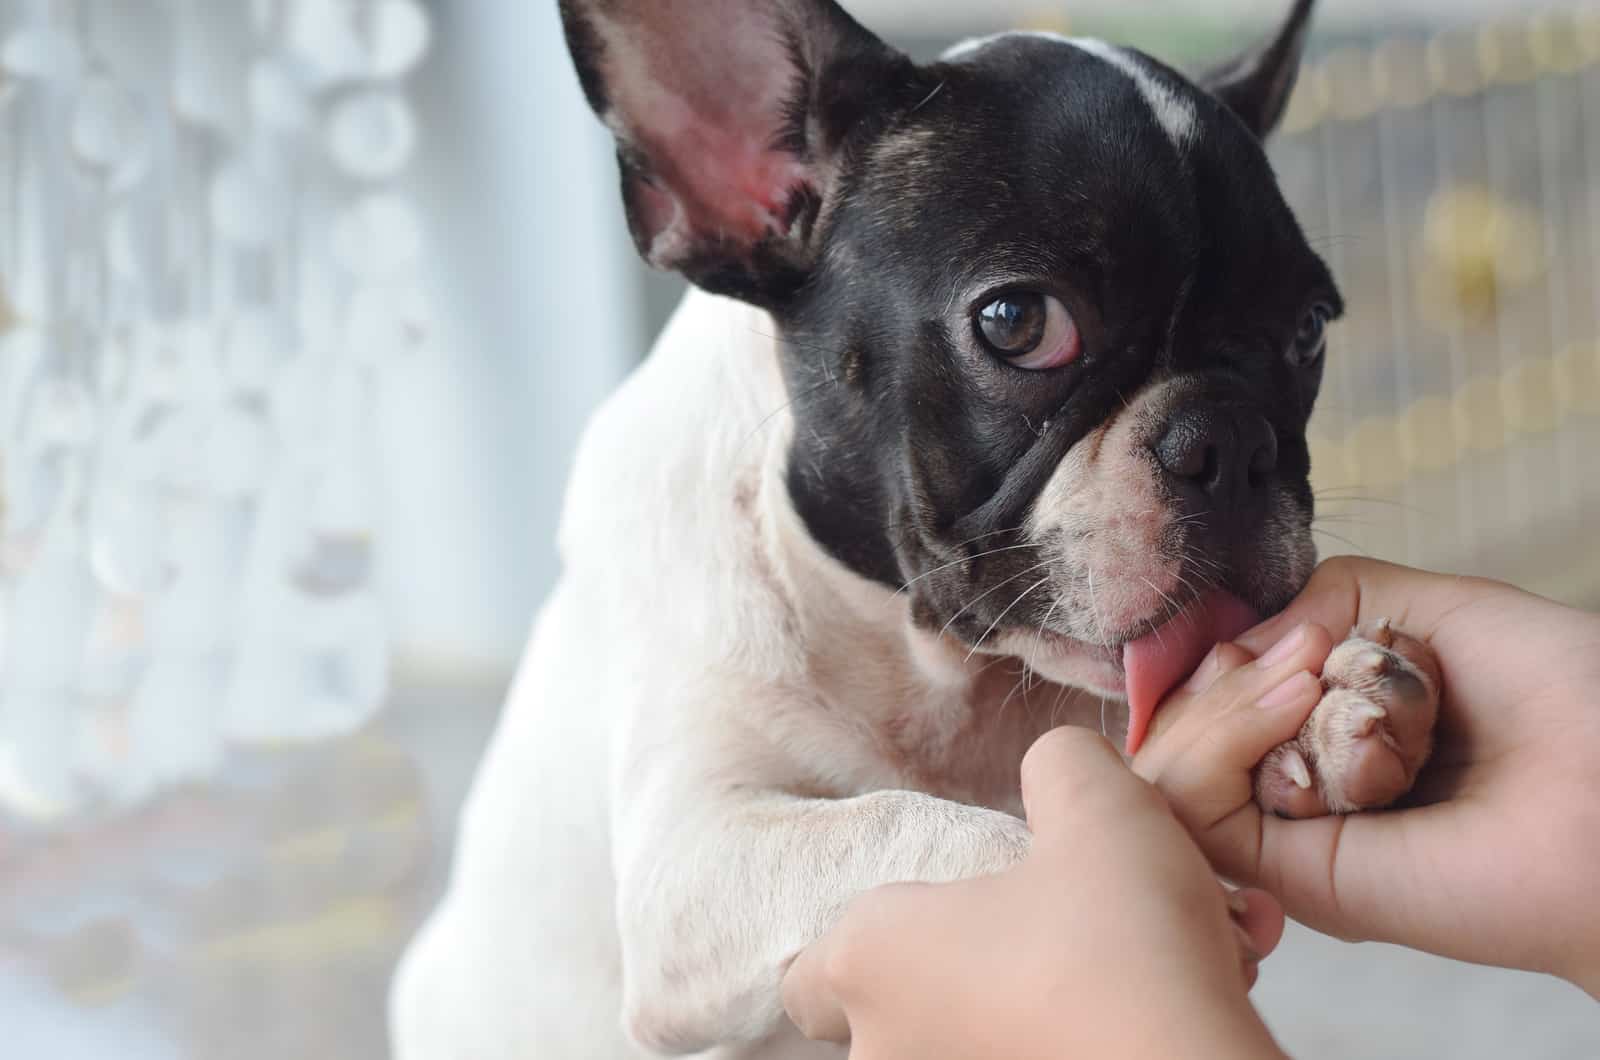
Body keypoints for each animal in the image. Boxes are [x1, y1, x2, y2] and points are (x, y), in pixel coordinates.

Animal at [387, 4, 1440, 1056]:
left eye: (1309, 331)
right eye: (1017, 323)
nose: (1230, 440)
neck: (937, 677)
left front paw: (1322, 718)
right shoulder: (690, 865)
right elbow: (900, 824)